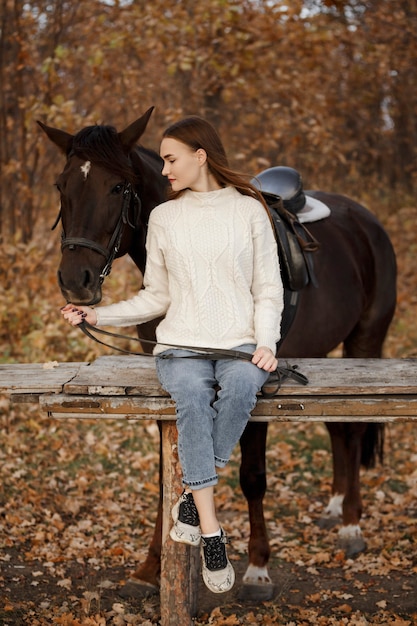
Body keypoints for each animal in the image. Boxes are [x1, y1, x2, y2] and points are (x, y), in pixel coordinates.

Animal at [37, 108, 394, 600]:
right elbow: (170, 474)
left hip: (365, 343)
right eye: (61, 185)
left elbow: (253, 478)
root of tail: (364, 219)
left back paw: (352, 527)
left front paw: (258, 570)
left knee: (356, 429)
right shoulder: (163, 395)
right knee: (339, 428)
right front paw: (149, 569)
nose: (76, 281)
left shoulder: (261, 390)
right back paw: (336, 508)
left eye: (117, 187)